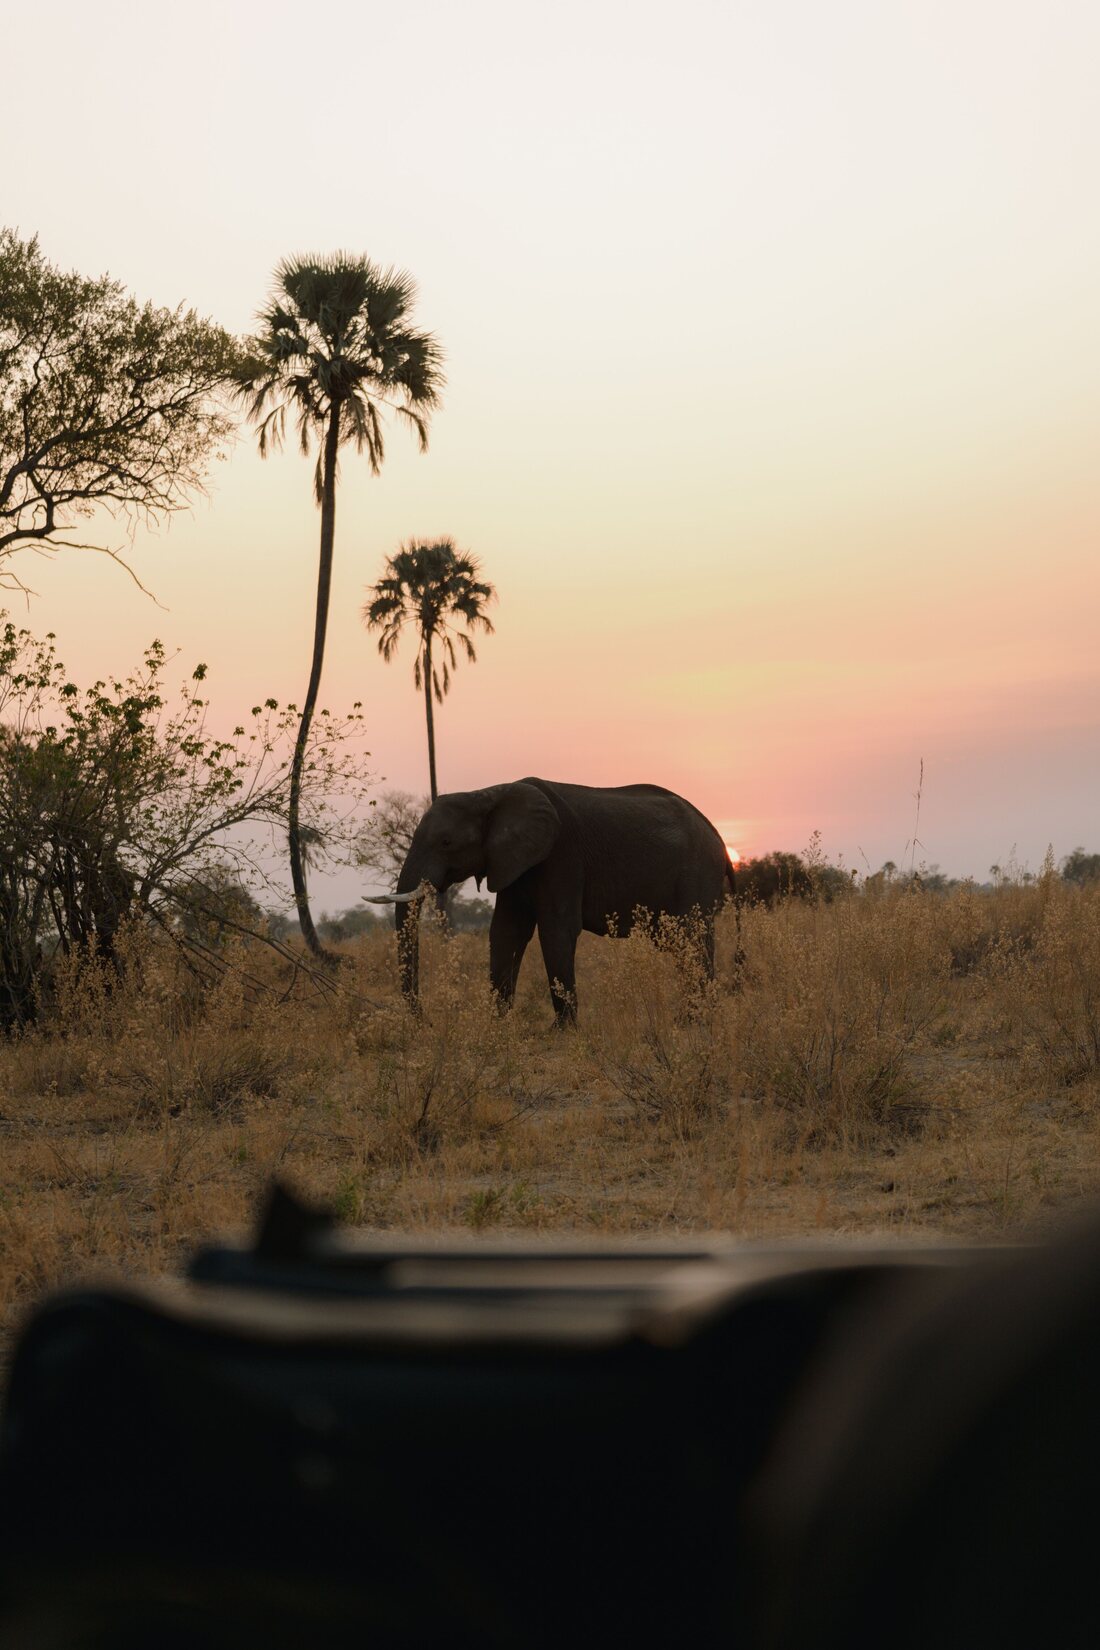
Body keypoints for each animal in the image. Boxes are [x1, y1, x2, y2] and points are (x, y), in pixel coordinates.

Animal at [366, 777, 736, 1024]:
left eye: (446, 842)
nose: (425, 1022)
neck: (489, 793)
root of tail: (718, 835)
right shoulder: (512, 862)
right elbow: (506, 932)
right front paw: (497, 1025)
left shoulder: (561, 855)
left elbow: (557, 930)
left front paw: (562, 1030)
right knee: (681, 942)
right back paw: (695, 1017)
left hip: (696, 870)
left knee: (693, 935)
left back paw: (695, 1021)